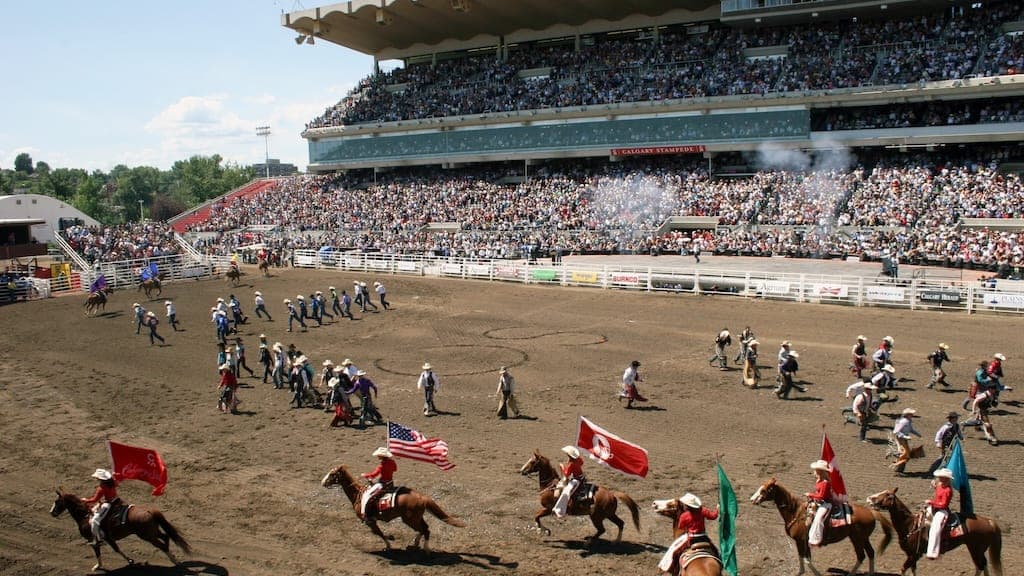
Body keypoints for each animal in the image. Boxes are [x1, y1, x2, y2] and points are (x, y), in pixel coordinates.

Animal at [49, 485, 191, 569]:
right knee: (166, 537)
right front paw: (130, 560)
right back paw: (173, 558)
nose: (52, 513)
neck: (85, 516)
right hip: (152, 532)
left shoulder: (94, 540)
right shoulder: (108, 539)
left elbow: (104, 551)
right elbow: (116, 549)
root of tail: (149, 511)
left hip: (147, 535)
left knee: (162, 545)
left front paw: (98, 566)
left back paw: (174, 560)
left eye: (56, 501)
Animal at [321, 459, 466, 549]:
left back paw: (425, 548)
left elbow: (378, 533)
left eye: (332, 474)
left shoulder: (370, 521)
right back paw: (415, 543)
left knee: (425, 530)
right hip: (416, 518)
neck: (358, 494)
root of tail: (422, 496)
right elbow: (378, 533)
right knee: (424, 528)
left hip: (410, 519)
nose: (323, 482)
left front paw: (389, 544)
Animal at [749, 475, 892, 573]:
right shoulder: (802, 541)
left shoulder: (800, 540)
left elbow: (806, 559)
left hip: (857, 539)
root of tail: (871, 511)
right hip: (862, 538)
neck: (795, 512)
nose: (752, 499)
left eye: (764, 490)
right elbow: (804, 558)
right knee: (870, 553)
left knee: (861, 556)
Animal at [868, 483, 1003, 573]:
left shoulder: (914, 555)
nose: (870, 499)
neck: (910, 525)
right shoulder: (912, 555)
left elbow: (903, 569)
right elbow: (913, 570)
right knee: (982, 565)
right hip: (975, 549)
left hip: (976, 549)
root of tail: (989, 521)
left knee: (981, 566)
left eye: (887, 495)